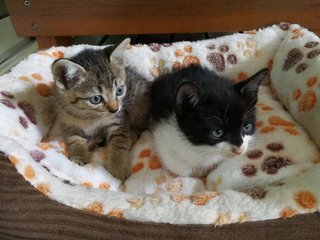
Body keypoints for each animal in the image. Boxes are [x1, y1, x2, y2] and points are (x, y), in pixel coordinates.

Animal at [50, 39, 151, 181]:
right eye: (96, 99)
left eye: (119, 90)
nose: (115, 109)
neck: (90, 116)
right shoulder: (68, 124)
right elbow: (74, 141)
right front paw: (79, 157)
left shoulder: (118, 121)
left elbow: (118, 142)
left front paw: (118, 167)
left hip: (139, 106)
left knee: (139, 128)